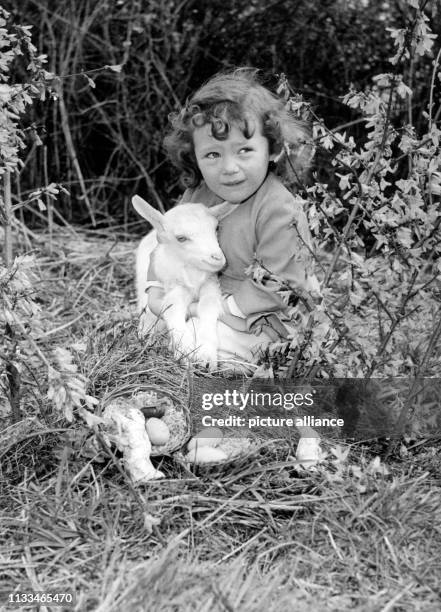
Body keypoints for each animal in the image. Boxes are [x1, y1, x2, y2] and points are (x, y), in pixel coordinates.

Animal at [131, 196, 232, 368]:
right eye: (181, 238)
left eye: (216, 228)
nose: (218, 258)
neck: (193, 272)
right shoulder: (177, 286)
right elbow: (172, 307)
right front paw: (185, 350)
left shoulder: (210, 283)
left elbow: (209, 305)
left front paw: (206, 354)